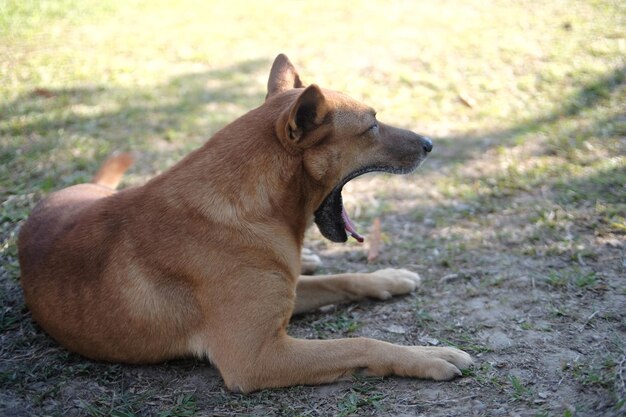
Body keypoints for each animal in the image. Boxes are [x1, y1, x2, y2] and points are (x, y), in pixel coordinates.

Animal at [17, 54, 470, 390]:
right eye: (372, 125)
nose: (430, 144)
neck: (256, 209)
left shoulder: (283, 300)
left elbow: (342, 280)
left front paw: (386, 277)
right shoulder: (258, 357)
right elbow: (362, 344)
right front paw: (428, 356)